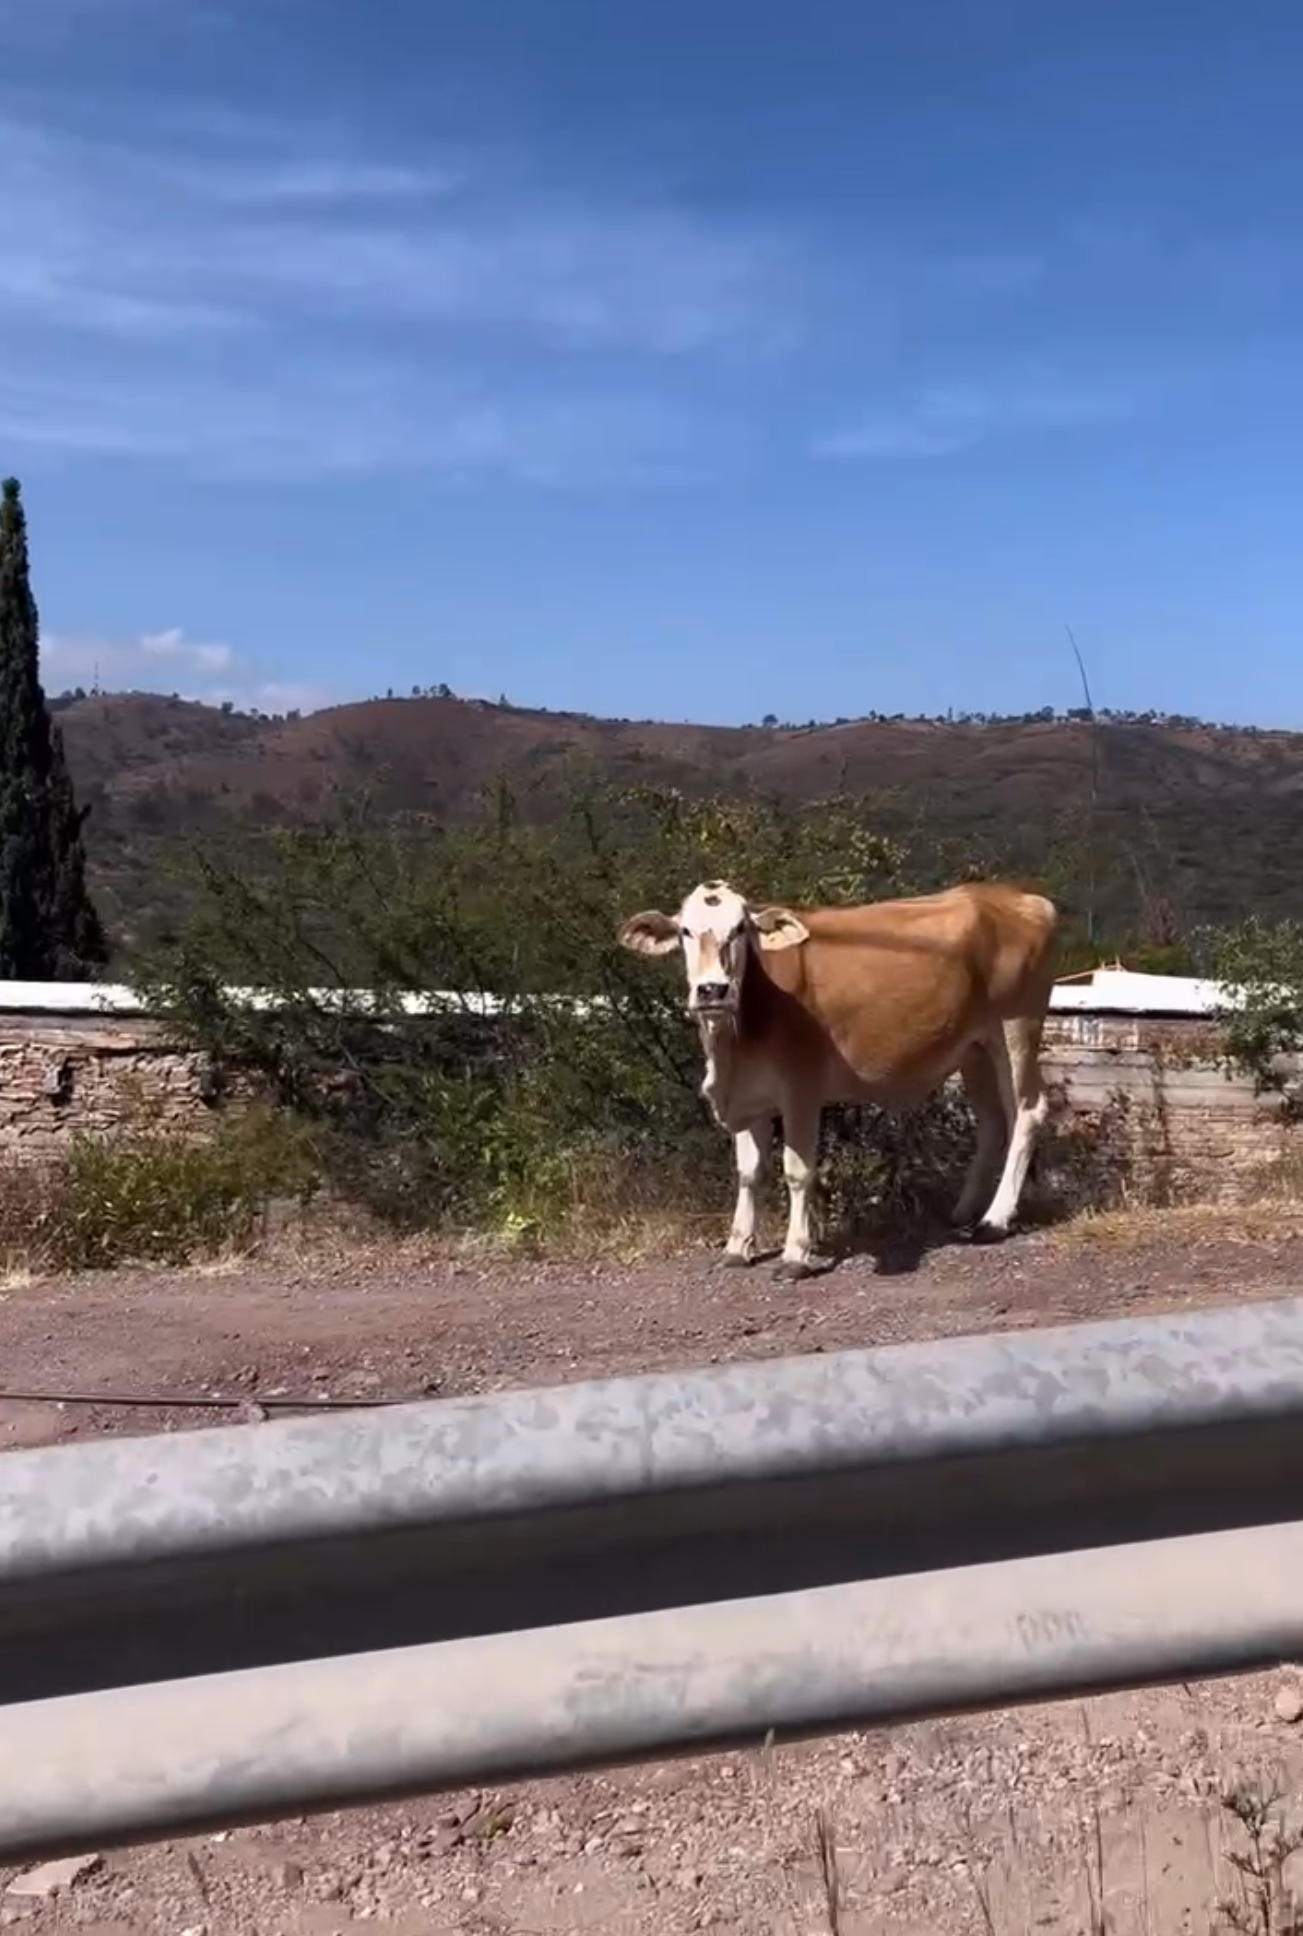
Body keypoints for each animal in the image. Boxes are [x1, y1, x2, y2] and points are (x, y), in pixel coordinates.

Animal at [617, 877, 1060, 1277]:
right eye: (686, 931)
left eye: (740, 928)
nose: (713, 990)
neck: (735, 1041)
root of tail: (1022, 899)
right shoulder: (748, 1095)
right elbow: (749, 1173)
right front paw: (737, 1247)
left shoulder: (800, 1087)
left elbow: (797, 1172)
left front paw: (796, 1255)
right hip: (976, 1048)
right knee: (993, 1119)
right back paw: (968, 1210)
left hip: (1015, 1025)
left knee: (1027, 1110)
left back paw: (995, 1219)